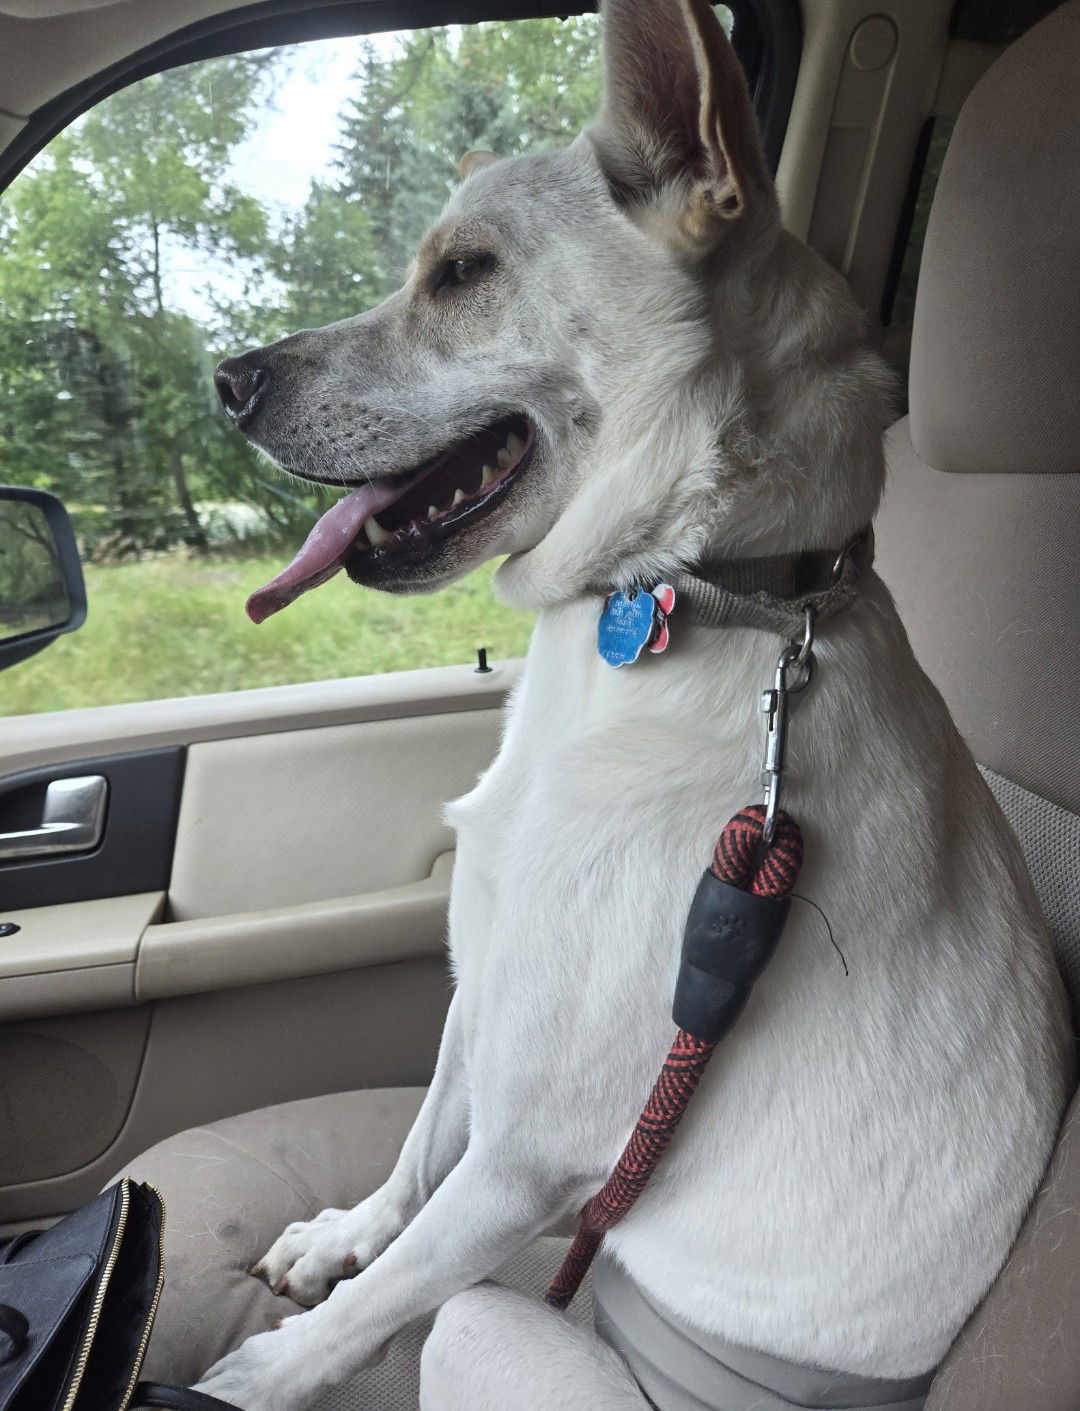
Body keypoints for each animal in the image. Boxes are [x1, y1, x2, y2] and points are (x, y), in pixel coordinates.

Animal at [201, 5, 1072, 1405]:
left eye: (462, 272)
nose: (225, 380)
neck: (693, 597)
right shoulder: (482, 995)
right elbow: (413, 1152)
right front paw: (341, 1232)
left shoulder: (528, 1160)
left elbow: (388, 1290)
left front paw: (262, 1374)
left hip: (490, 1326)